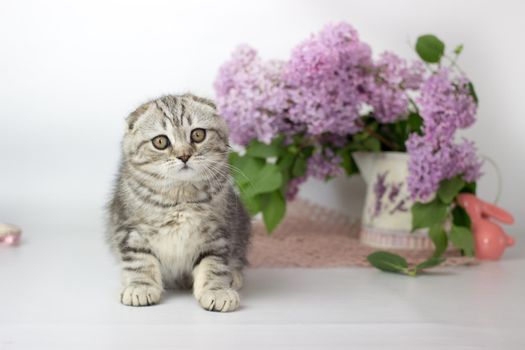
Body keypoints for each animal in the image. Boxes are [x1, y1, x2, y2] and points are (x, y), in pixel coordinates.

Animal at [106, 93, 250, 312]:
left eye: (198, 135)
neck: (181, 195)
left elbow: (213, 263)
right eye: (160, 141)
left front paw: (217, 290)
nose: (184, 155)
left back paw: (233, 275)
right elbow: (140, 260)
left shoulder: (218, 231)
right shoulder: (130, 229)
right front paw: (140, 287)